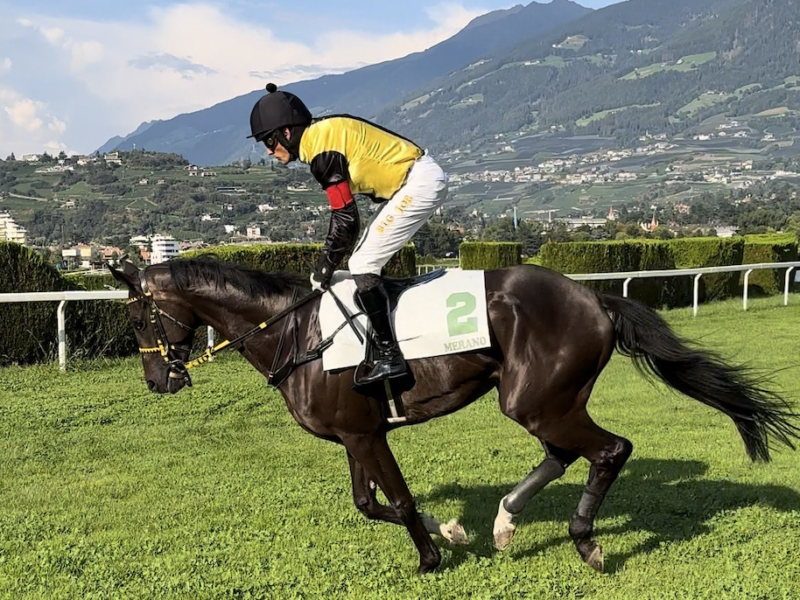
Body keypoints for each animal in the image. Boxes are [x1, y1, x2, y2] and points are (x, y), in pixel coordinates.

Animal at [108, 258, 800, 576]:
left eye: (138, 318)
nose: (158, 381)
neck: (296, 335)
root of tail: (593, 296)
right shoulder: (355, 435)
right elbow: (368, 503)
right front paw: (452, 532)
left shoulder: (363, 432)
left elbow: (399, 499)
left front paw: (431, 556)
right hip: (549, 399)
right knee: (564, 452)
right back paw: (503, 522)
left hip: (534, 398)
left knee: (609, 450)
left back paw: (585, 541)